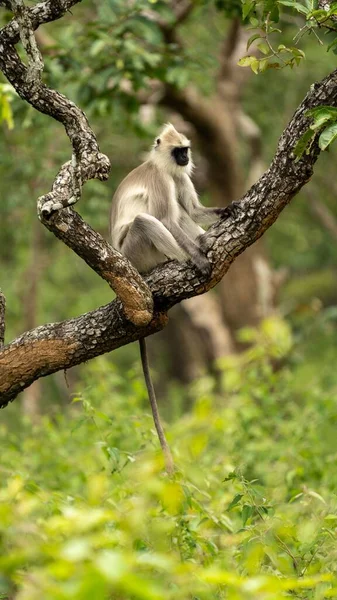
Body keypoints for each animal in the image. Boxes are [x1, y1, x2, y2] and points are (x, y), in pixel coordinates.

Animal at [109, 125, 230, 474]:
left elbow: (191, 211)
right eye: (179, 152)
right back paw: (187, 257)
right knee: (147, 220)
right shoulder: (161, 179)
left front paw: (226, 211)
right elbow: (167, 218)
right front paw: (199, 259)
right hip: (136, 253)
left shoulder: (176, 177)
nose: (187, 159)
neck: (161, 166)